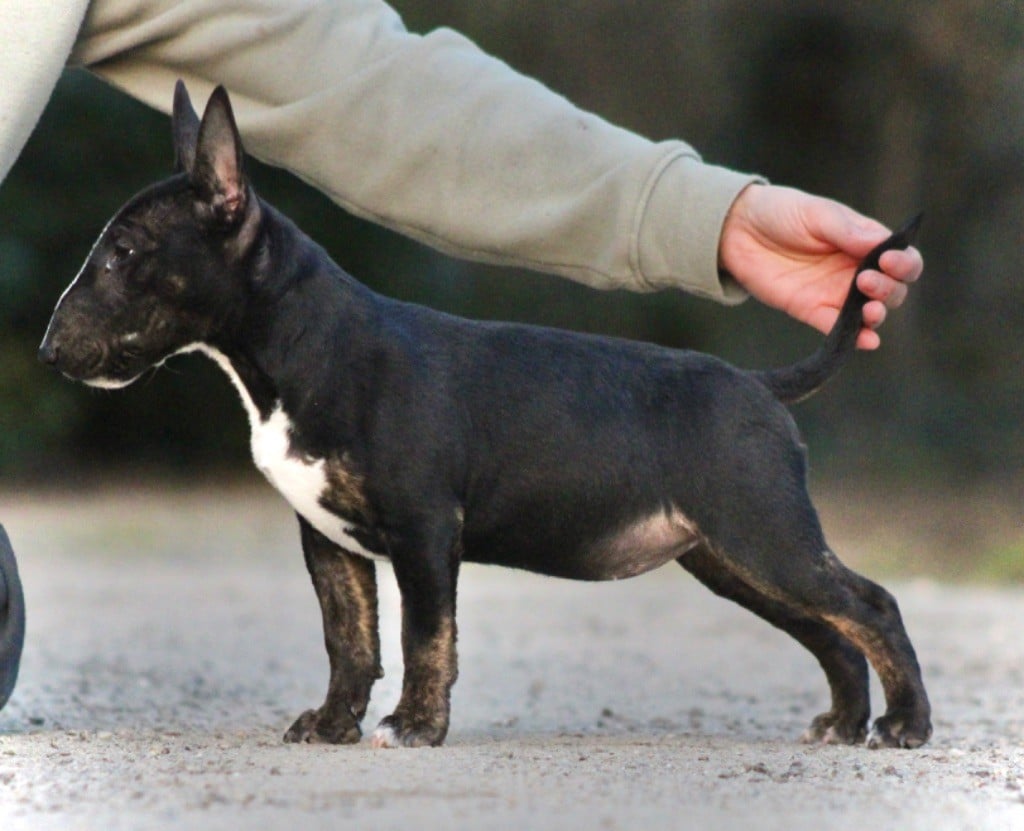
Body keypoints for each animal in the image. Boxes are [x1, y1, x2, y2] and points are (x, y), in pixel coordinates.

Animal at [37, 81, 929, 749]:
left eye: (122, 253)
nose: (48, 350)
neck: (301, 347)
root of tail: (760, 386)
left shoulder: (426, 527)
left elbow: (423, 635)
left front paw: (415, 726)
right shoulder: (328, 540)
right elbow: (348, 639)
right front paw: (331, 724)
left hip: (764, 532)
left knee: (869, 607)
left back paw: (905, 725)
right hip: (732, 556)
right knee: (831, 631)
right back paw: (844, 722)